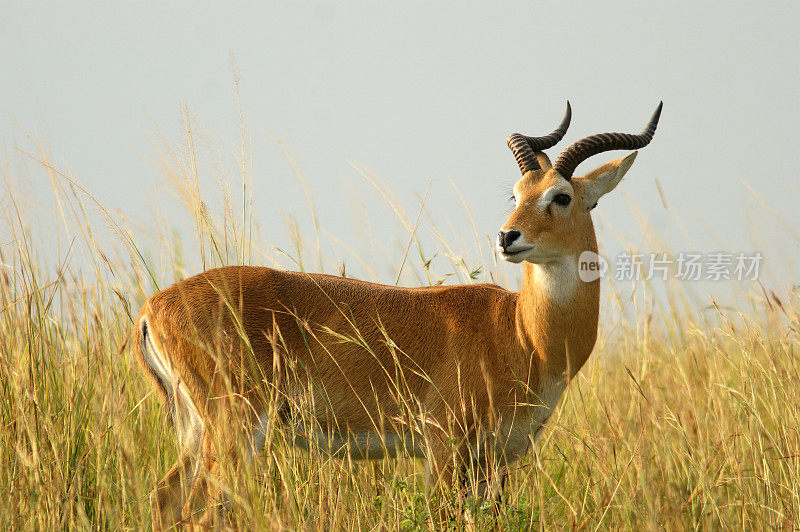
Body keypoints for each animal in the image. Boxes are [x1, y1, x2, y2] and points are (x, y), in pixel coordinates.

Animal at [133, 103, 664, 528]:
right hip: (235, 429)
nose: (507, 237)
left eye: (562, 196)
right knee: (199, 512)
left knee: (164, 500)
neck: (520, 334)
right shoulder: (442, 448)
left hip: (196, 430)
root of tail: (152, 308)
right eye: (515, 193)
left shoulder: (498, 459)